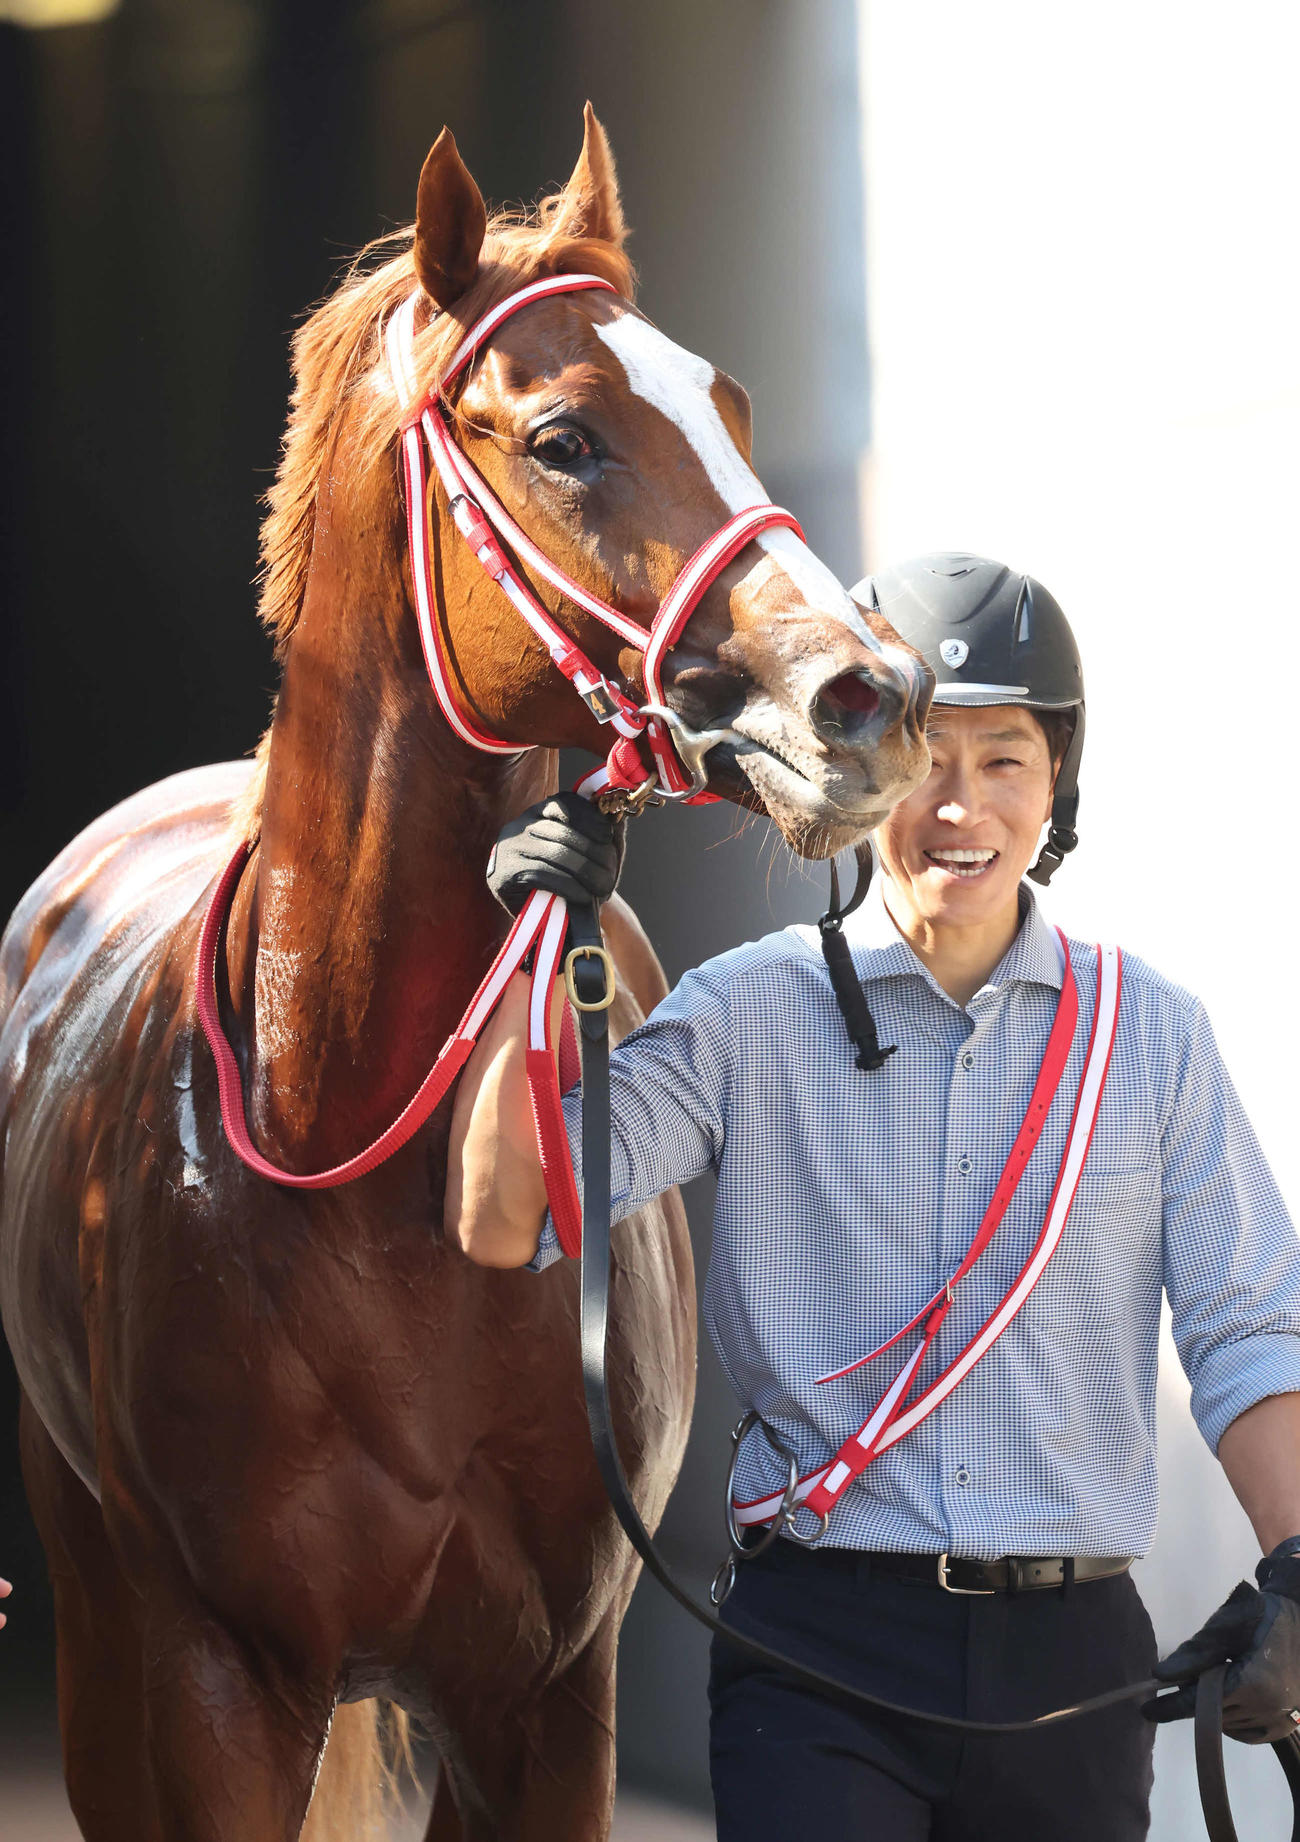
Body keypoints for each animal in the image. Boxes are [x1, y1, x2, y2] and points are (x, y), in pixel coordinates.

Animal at [0, 108, 930, 1842]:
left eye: (730, 406)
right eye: (563, 438)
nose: (873, 698)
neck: (343, 1136)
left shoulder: (548, 1694)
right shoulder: (217, 1678)